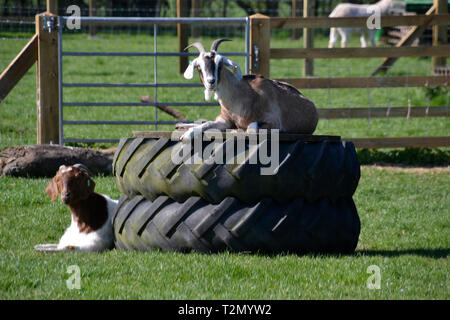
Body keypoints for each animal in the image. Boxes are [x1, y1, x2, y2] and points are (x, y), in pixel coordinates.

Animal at [181, 37, 318, 140]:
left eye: (219, 65)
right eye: (199, 67)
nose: (211, 81)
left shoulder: (273, 121)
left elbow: (251, 128)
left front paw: (236, 131)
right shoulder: (224, 120)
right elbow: (208, 123)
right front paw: (187, 135)